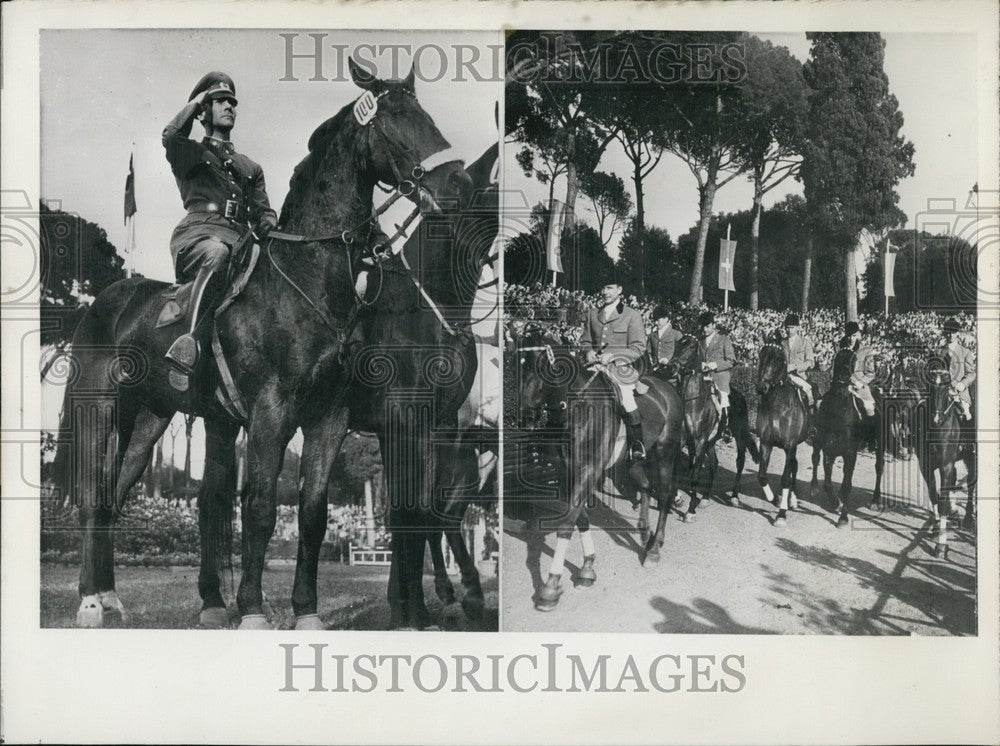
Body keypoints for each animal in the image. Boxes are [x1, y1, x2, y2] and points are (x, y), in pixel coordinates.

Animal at [56, 59, 470, 628]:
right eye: (396, 119)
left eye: (425, 113)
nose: (458, 182)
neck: (307, 279)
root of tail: (104, 301)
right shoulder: (271, 413)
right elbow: (257, 508)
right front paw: (252, 610)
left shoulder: (330, 418)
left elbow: (313, 512)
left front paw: (306, 610)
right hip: (98, 410)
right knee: (92, 498)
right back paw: (91, 602)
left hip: (148, 419)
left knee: (116, 496)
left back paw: (112, 595)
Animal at [512, 328, 684, 608]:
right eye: (515, 364)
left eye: (540, 367)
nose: (524, 418)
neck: (577, 411)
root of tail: (668, 388)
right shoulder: (567, 473)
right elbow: (579, 518)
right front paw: (587, 568)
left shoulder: (589, 472)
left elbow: (567, 522)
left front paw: (551, 586)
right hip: (633, 461)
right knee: (645, 486)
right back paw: (645, 534)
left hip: (664, 453)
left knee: (665, 494)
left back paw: (655, 547)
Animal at [656, 334, 756, 520]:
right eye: (677, 344)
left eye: (691, 347)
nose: (672, 366)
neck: (693, 401)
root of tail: (740, 395)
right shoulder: (684, 439)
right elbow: (677, 470)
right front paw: (675, 500)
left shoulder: (700, 440)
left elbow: (695, 473)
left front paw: (690, 510)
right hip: (711, 442)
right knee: (714, 464)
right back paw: (705, 498)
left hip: (738, 436)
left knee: (740, 462)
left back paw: (734, 497)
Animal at [756, 342, 812, 524]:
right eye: (761, 355)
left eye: (778, 359)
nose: (761, 387)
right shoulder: (765, 443)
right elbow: (762, 476)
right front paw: (776, 499)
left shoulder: (789, 445)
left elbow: (785, 479)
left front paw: (781, 514)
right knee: (794, 465)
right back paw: (791, 499)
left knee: (793, 467)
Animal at [812, 348, 884, 528]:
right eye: (837, 358)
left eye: (854, 359)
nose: (843, 379)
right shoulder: (828, 450)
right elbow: (828, 484)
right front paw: (835, 503)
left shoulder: (850, 453)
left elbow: (846, 486)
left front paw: (843, 517)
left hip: (880, 443)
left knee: (879, 468)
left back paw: (875, 500)